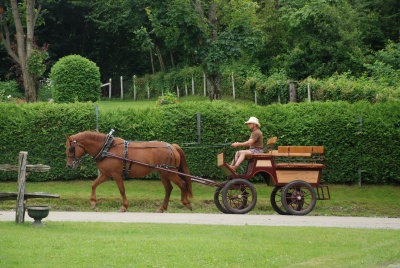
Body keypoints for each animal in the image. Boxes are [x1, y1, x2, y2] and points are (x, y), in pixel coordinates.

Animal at [65, 131, 193, 213]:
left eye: (71, 148)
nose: (69, 165)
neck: (107, 148)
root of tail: (172, 146)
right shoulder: (106, 174)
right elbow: (93, 184)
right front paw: (93, 202)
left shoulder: (116, 174)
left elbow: (122, 189)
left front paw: (124, 207)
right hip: (163, 173)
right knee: (168, 188)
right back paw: (162, 208)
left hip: (170, 172)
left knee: (182, 184)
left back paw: (186, 203)